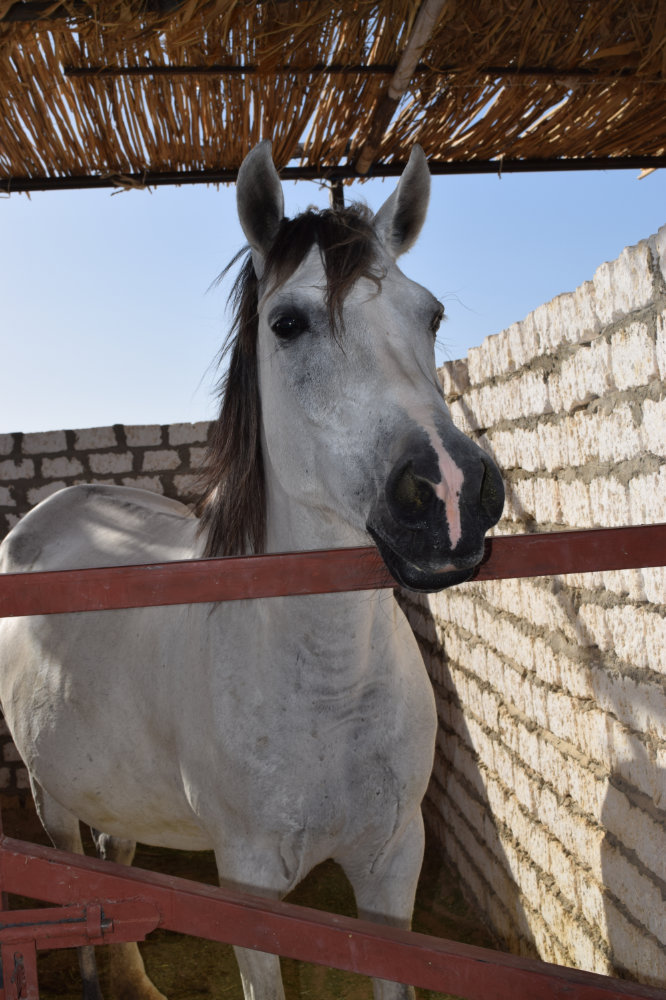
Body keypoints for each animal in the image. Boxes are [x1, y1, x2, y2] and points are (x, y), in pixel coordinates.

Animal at [0, 141, 504, 1000]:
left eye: (431, 314)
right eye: (287, 323)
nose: (449, 490)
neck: (328, 684)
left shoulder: (392, 862)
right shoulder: (250, 888)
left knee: (117, 859)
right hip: (51, 793)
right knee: (77, 874)